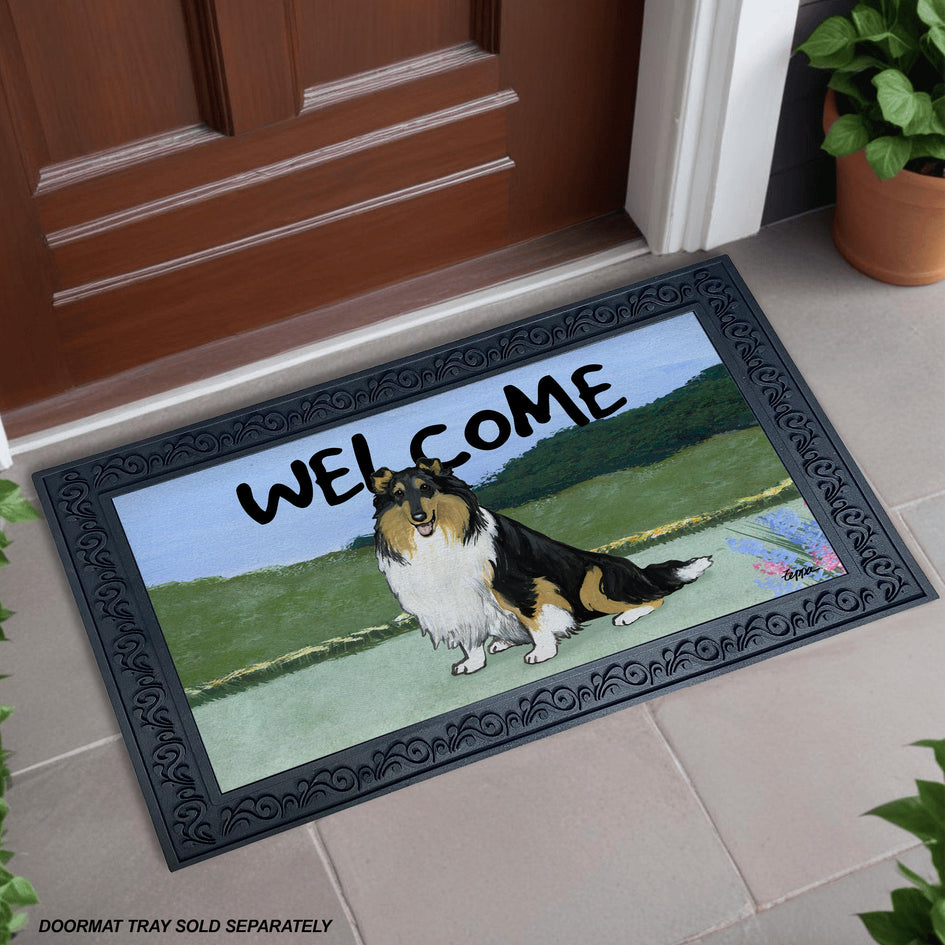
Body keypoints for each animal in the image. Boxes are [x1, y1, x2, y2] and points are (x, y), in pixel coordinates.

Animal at [368, 456, 708, 672]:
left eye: (426, 488)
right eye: (398, 494)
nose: (419, 517)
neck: (439, 540)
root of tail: (641, 571)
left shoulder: (517, 584)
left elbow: (534, 618)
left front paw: (543, 652)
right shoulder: (458, 602)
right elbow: (470, 640)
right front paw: (472, 664)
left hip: (594, 580)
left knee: (655, 598)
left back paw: (627, 616)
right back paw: (502, 642)